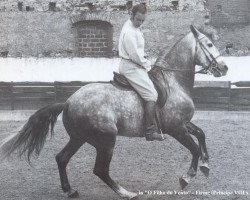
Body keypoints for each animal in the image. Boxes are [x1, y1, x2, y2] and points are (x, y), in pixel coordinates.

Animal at [0, 25, 228, 199]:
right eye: (209, 44)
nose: (224, 68)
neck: (173, 82)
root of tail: (68, 102)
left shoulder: (183, 124)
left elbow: (201, 134)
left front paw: (206, 165)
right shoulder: (176, 129)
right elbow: (194, 149)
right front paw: (186, 178)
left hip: (80, 138)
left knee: (62, 158)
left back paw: (71, 191)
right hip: (106, 140)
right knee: (100, 169)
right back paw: (126, 193)